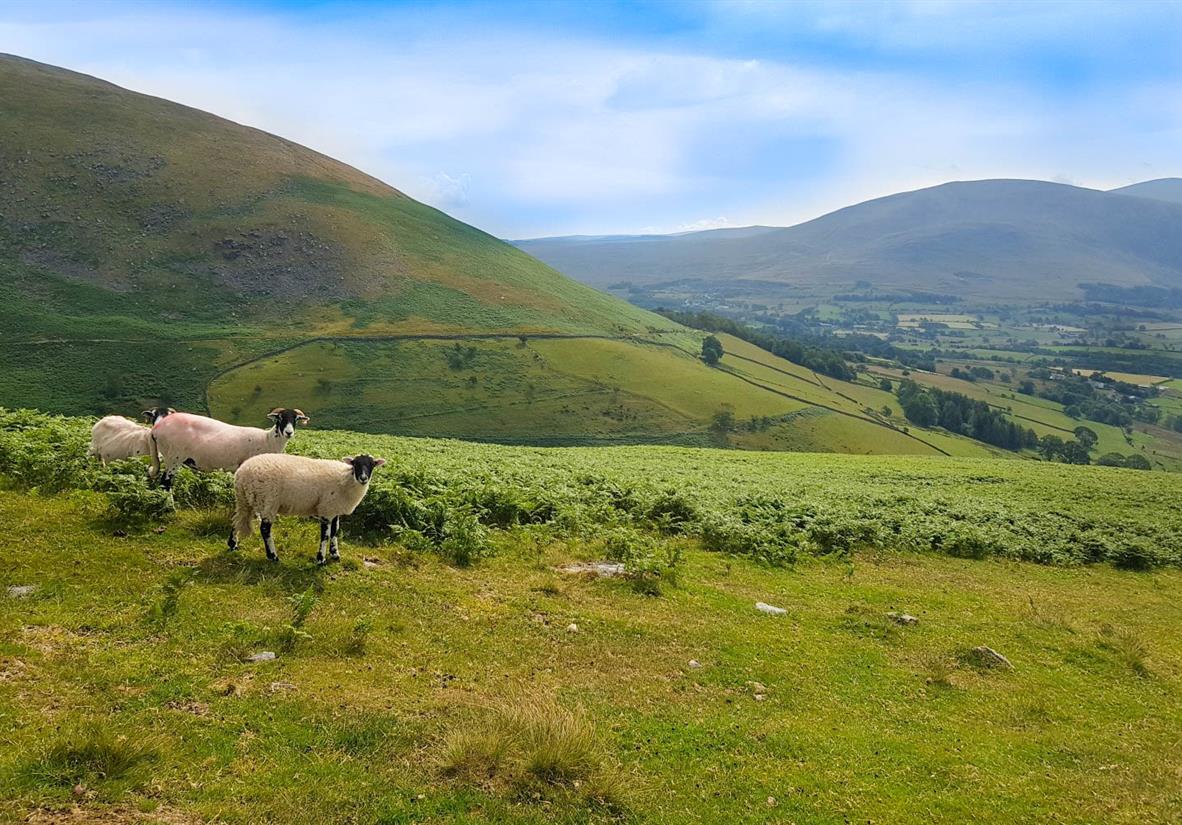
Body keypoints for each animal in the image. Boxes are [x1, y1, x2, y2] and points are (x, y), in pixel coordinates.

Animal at [150, 407, 308, 489]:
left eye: (295, 419)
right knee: (165, 482)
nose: (289, 432)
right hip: (174, 457)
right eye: (280, 419)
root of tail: (156, 429)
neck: (268, 441)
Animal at [230, 453, 385, 564]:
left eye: (372, 464)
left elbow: (335, 532)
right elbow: (325, 535)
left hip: (245, 499)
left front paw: (335, 554)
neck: (345, 480)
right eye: (355, 464)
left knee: (237, 519)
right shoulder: (326, 509)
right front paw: (321, 559)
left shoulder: (334, 509)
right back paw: (273, 556)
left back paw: (233, 545)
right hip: (268, 500)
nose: (363, 478)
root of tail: (242, 472)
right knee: (265, 529)